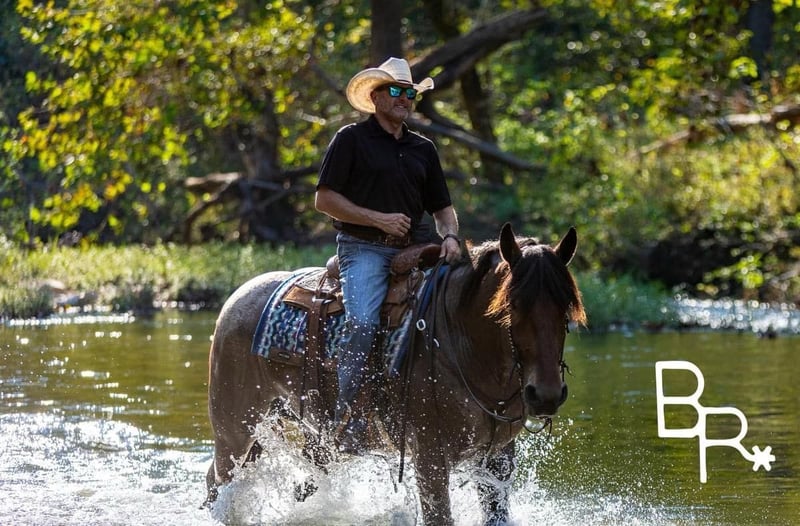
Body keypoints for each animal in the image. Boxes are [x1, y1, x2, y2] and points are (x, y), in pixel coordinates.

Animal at [206, 223, 586, 525]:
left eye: (566, 309)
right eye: (513, 305)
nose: (546, 394)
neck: (459, 339)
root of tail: (237, 297)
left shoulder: (498, 458)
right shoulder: (430, 457)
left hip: (307, 437)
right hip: (234, 431)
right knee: (217, 484)